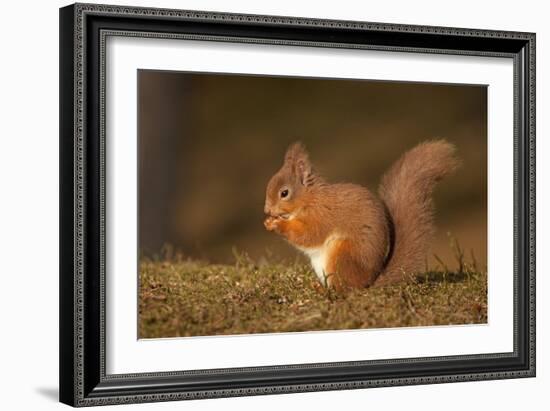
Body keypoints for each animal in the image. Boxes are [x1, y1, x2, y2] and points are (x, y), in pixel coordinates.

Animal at [264, 140, 462, 292]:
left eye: (284, 193)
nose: (267, 210)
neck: (310, 199)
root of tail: (368, 282)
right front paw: (268, 221)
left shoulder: (322, 216)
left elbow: (309, 235)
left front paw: (277, 224)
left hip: (342, 254)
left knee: (345, 289)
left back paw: (326, 291)